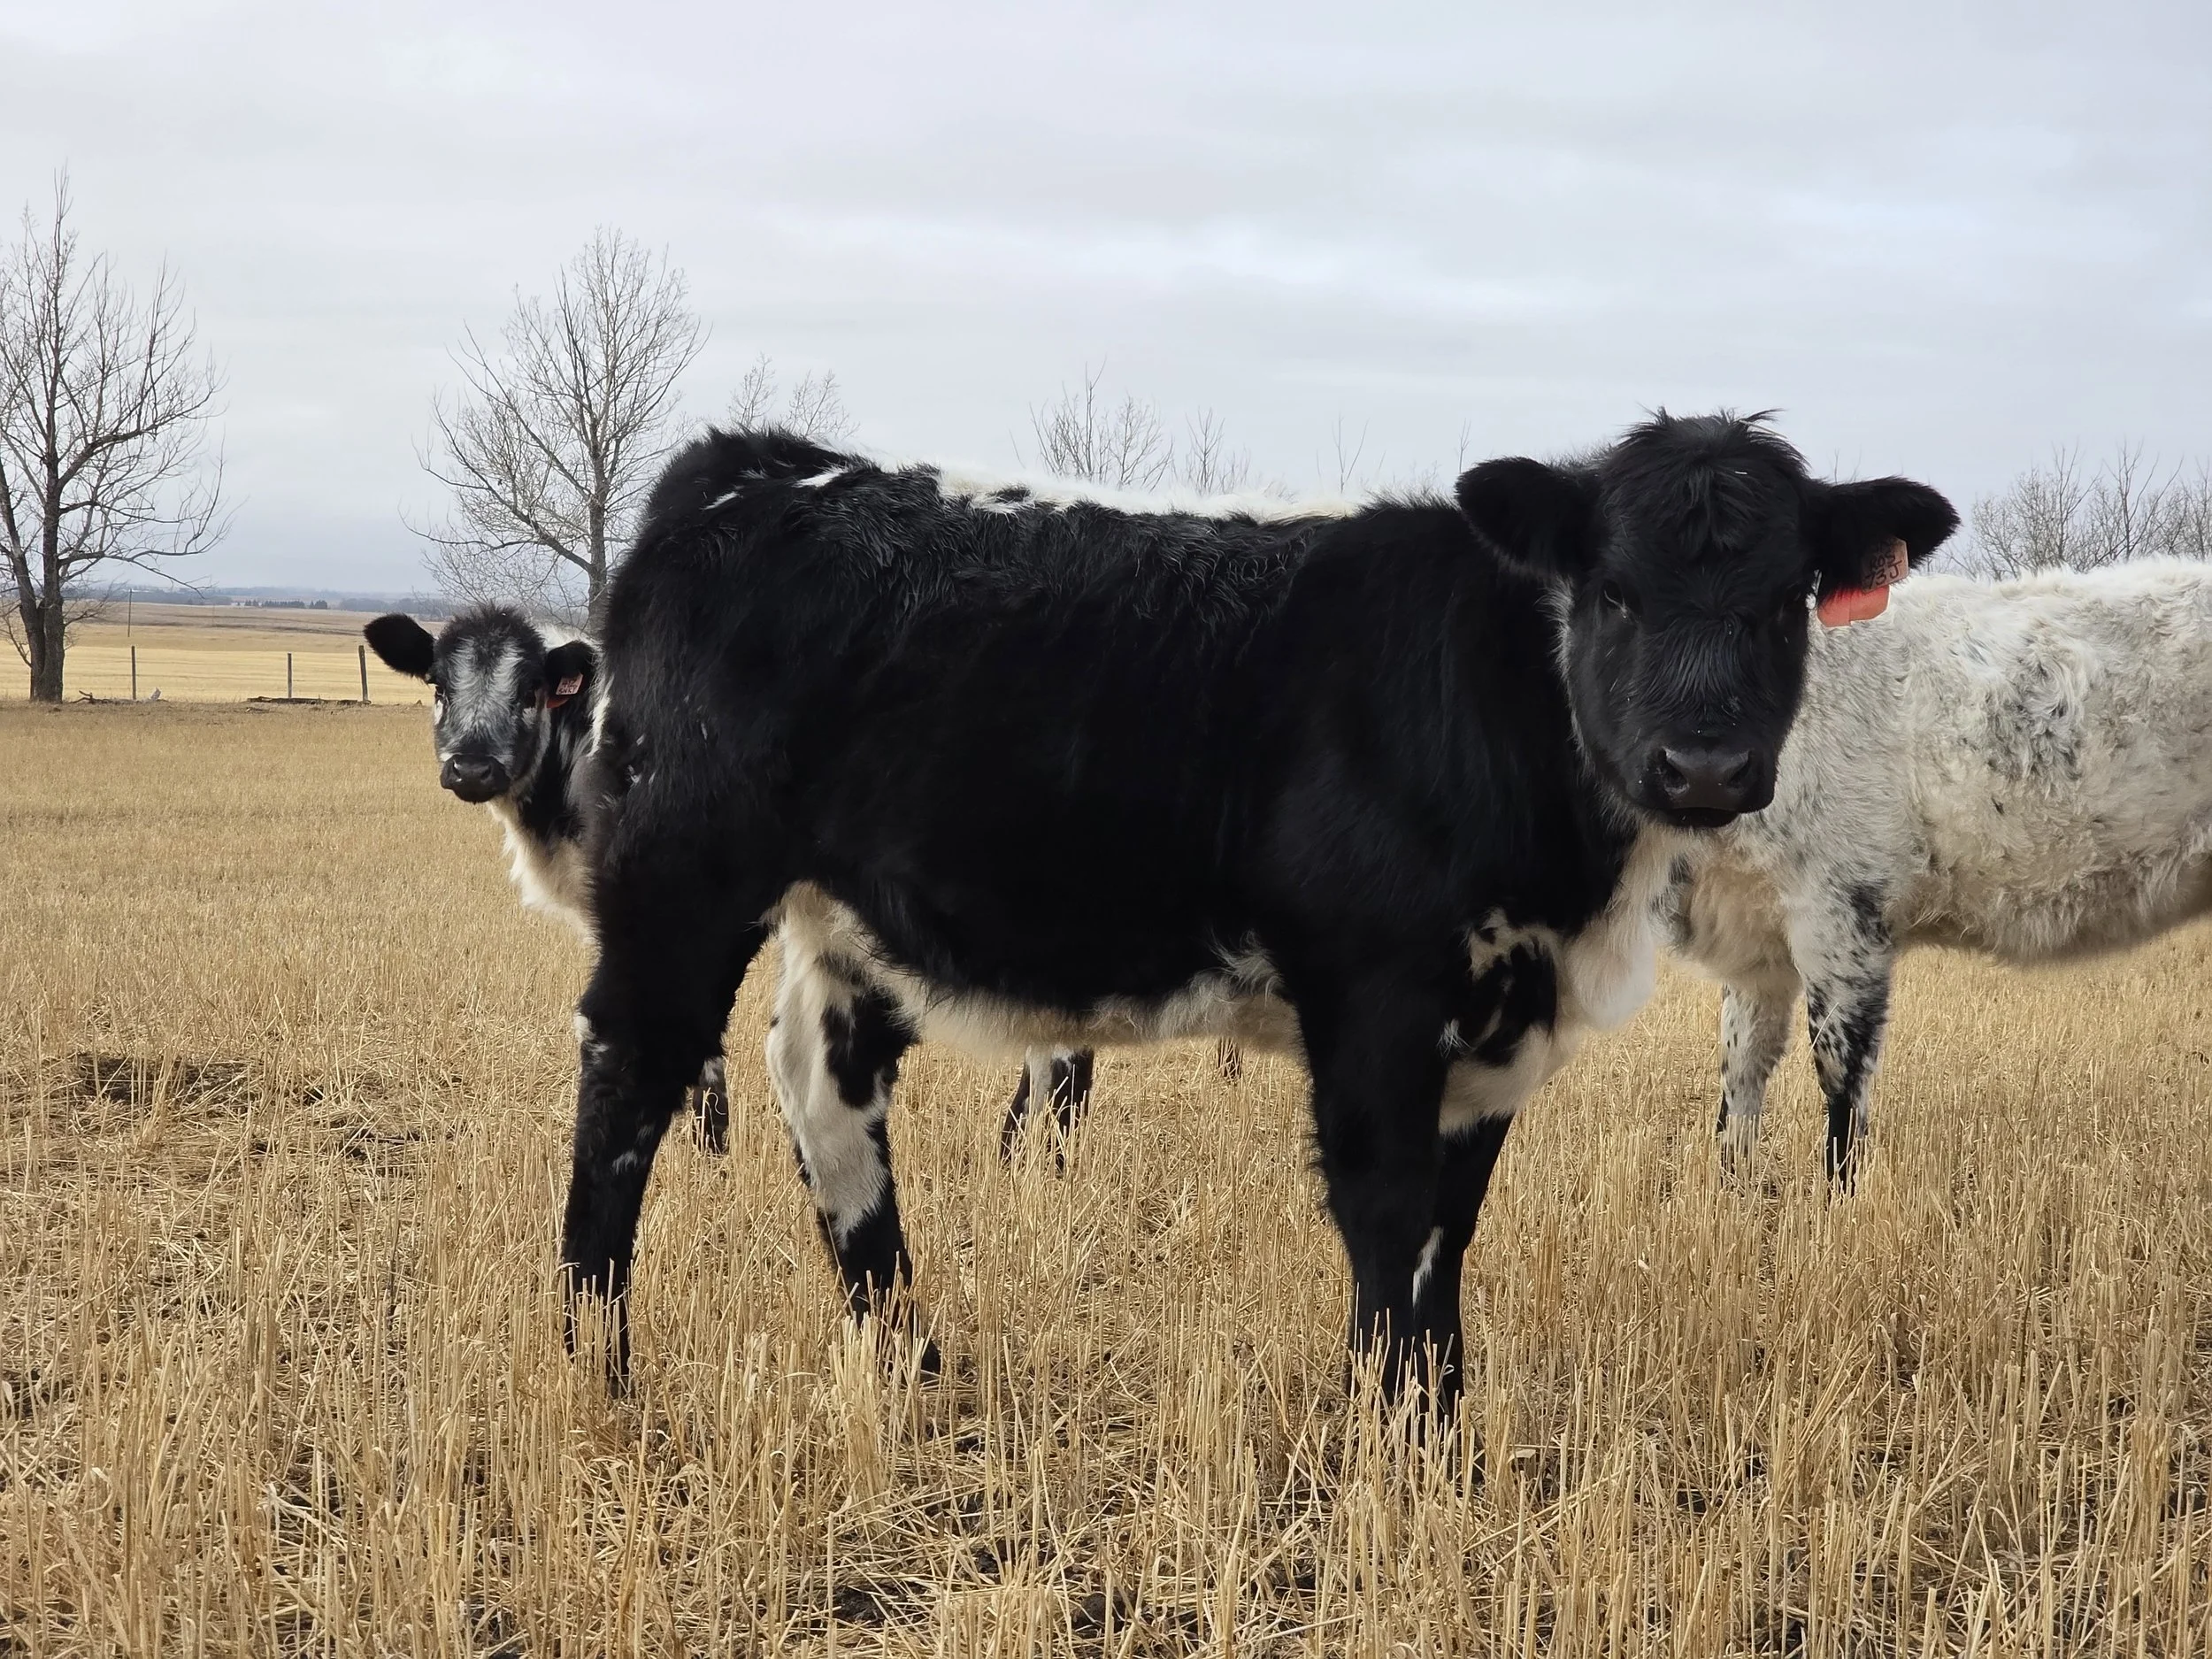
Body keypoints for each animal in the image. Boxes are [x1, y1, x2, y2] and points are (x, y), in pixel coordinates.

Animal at [565, 412, 1957, 1405]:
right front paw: (1404, 1444)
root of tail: (762, 462)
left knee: (825, 1086)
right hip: (680, 874)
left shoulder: (1497, 1016)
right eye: (1613, 589)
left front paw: (1438, 1419)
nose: (1706, 765)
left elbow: (1449, 1232)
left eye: (1785, 599)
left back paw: (911, 1363)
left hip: (842, 918)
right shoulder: (1375, 1001)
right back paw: (599, 1366)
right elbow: (1386, 1218)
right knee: (628, 1075)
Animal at [1668, 559, 2212, 1180]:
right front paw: (1732, 1185)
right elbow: (1741, 1070)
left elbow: (1840, 1077)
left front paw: (1838, 1194)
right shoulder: (1753, 936)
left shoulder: (1842, 914)